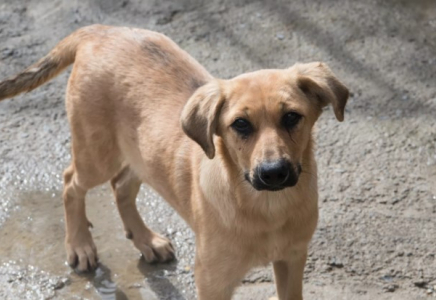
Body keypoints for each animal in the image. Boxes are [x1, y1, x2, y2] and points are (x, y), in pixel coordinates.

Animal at [0, 24, 348, 298]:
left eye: (292, 117)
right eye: (240, 125)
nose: (273, 173)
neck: (267, 209)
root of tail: (100, 30)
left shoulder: (292, 261)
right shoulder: (212, 280)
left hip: (140, 153)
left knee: (121, 186)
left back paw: (145, 240)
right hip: (97, 154)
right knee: (71, 182)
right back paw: (80, 245)